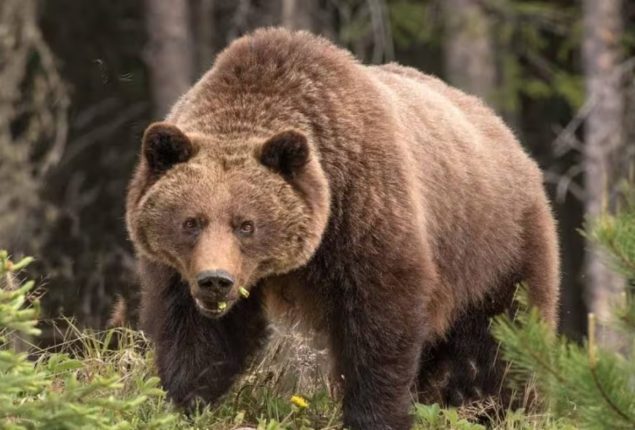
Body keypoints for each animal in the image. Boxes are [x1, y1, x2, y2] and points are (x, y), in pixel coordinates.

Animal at [125, 28, 560, 428]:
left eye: (246, 224)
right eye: (191, 222)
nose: (216, 280)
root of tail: (509, 138)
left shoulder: (364, 213)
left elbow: (379, 329)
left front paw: (375, 415)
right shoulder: (181, 272)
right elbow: (197, 336)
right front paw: (186, 402)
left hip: (496, 248)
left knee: (501, 343)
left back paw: (507, 410)